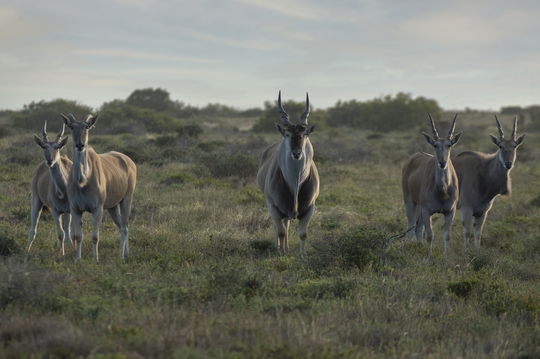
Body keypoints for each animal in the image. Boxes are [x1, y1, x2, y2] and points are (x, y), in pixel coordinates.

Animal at [28, 121, 73, 256]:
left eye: (57, 147)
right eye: (44, 147)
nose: (49, 160)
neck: (62, 192)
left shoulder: (69, 210)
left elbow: (69, 234)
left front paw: (73, 251)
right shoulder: (54, 210)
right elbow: (61, 234)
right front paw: (62, 254)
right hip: (36, 201)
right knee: (32, 230)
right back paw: (27, 251)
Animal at [62, 113, 137, 262]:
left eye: (87, 127)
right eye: (72, 127)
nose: (80, 144)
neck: (83, 181)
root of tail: (130, 161)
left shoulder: (98, 209)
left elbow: (95, 236)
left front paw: (95, 259)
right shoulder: (75, 209)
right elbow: (78, 236)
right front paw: (77, 259)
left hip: (126, 199)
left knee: (125, 227)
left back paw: (122, 256)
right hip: (112, 207)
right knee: (121, 226)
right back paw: (126, 253)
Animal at [256, 91, 318, 255]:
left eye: (305, 134)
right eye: (287, 134)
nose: (296, 153)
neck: (295, 183)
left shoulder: (310, 208)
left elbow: (303, 233)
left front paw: (302, 254)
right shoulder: (274, 207)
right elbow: (280, 231)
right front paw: (281, 252)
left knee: (287, 223)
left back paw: (288, 247)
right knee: (279, 227)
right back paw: (280, 247)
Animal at [402, 114, 462, 256]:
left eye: (449, 145)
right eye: (435, 145)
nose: (442, 162)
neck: (443, 191)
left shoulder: (450, 211)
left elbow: (447, 235)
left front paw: (445, 256)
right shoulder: (427, 211)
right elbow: (429, 235)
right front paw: (428, 256)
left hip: (419, 207)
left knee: (418, 228)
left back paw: (419, 247)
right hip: (410, 202)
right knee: (411, 227)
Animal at [454, 115, 524, 248]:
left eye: (514, 146)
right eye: (500, 146)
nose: (508, 164)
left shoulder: (482, 212)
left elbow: (478, 234)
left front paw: (477, 250)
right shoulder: (466, 209)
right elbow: (467, 233)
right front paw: (466, 251)